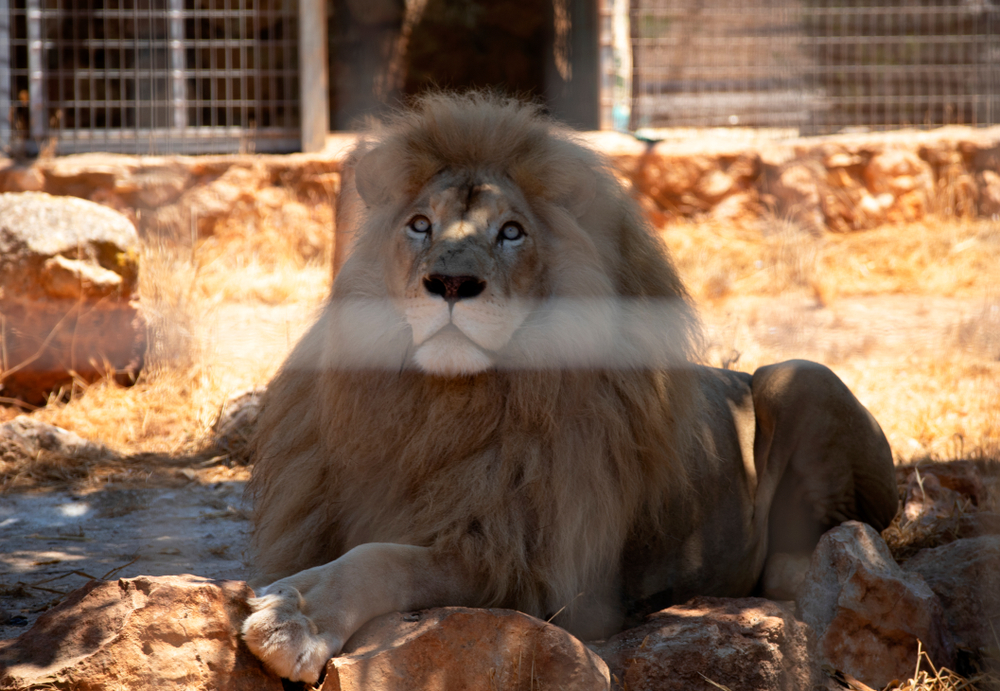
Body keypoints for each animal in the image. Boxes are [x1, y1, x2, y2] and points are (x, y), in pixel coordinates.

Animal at [242, 93, 900, 688]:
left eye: (512, 233)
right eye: (420, 225)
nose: (451, 283)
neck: (447, 404)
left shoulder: (537, 575)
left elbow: (384, 560)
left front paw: (297, 621)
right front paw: (287, 601)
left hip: (801, 375)